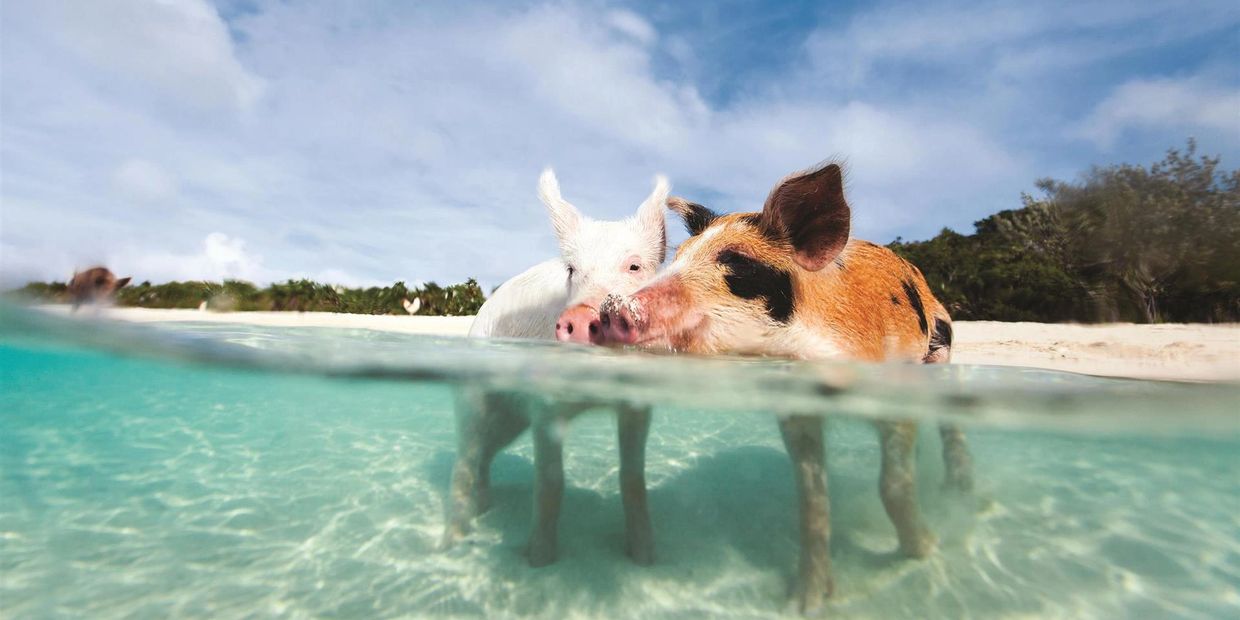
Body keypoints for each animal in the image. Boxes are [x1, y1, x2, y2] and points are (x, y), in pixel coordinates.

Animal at [595, 162, 972, 612]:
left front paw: (925, 551)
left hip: (941, 351)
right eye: (679, 256)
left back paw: (959, 492)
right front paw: (805, 603)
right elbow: (812, 500)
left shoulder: (893, 391)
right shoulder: (797, 412)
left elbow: (893, 485)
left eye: (736, 261)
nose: (611, 308)